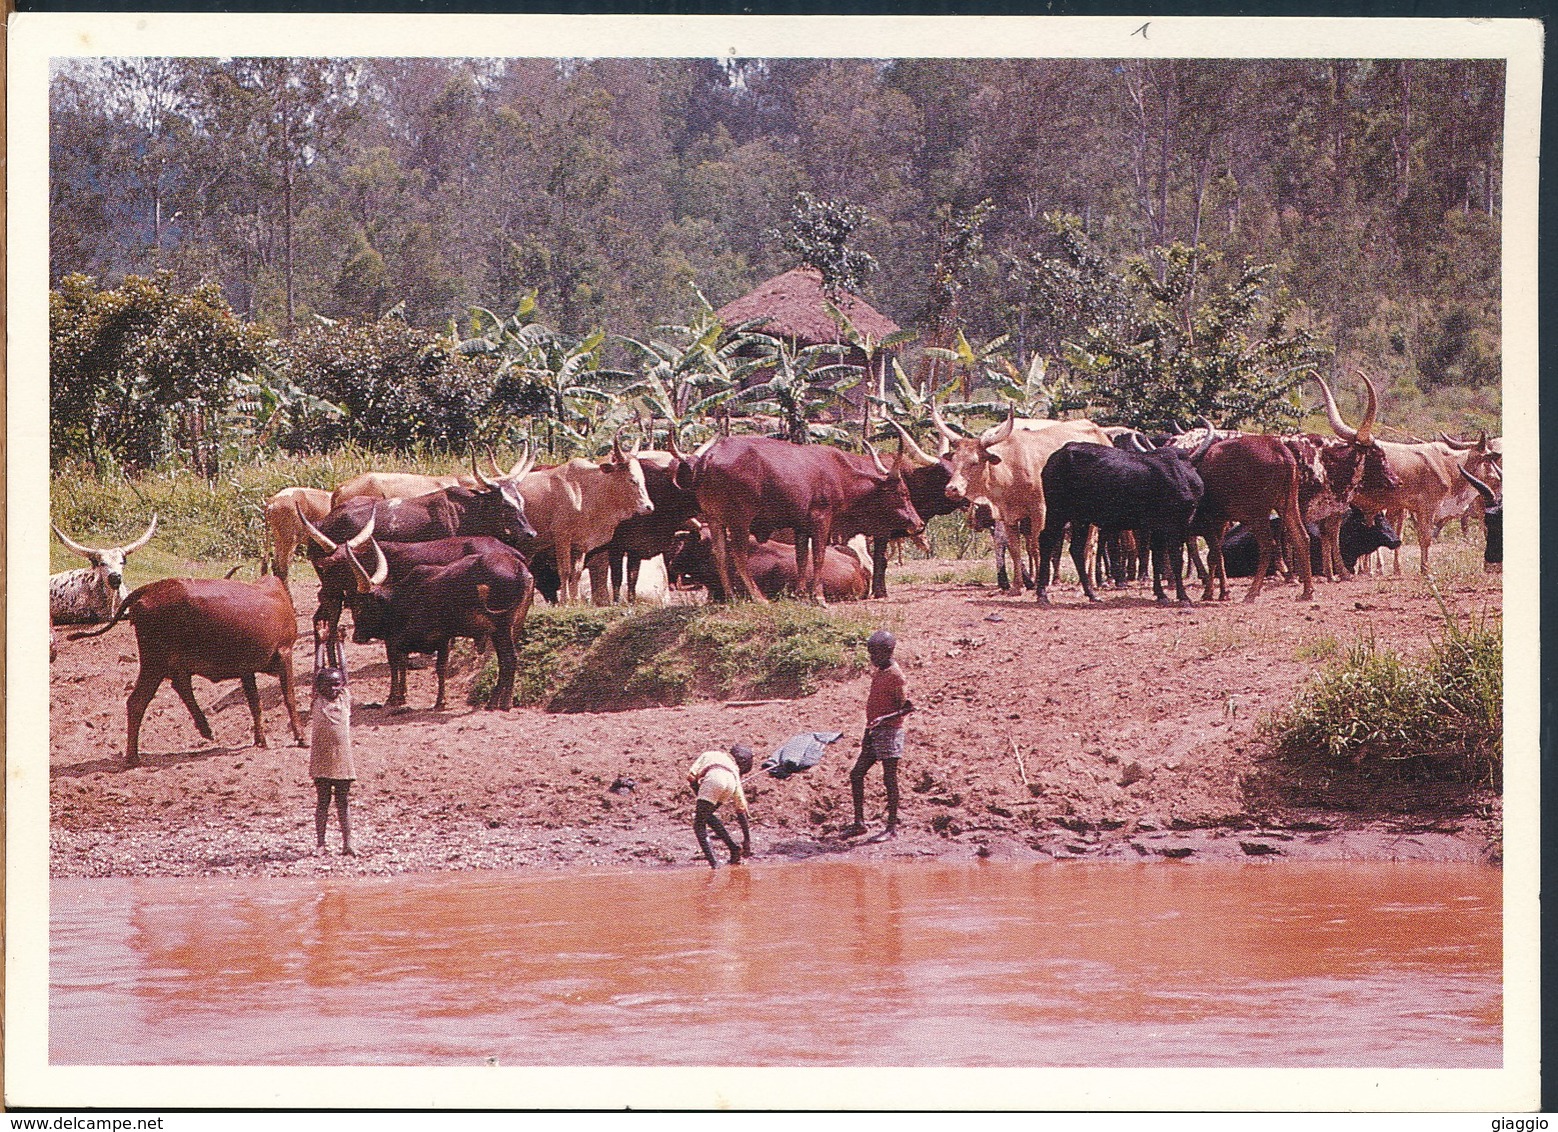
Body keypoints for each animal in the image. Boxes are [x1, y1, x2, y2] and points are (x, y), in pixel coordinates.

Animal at [517, 432, 651, 601]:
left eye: (643, 479)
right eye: (632, 480)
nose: (648, 507)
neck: (585, 491)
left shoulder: (579, 544)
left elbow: (577, 573)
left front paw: (575, 600)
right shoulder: (561, 536)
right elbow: (565, 570)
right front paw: (565, 601)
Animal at [1040, 435, 1209, 610]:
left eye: (1187, 470)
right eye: (1165, 474)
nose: (1186, 499)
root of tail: (1059, 454)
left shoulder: (1165, 527)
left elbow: (1158, 558)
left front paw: (1161, 594)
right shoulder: (1170, 527)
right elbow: (1175, 559)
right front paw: (1183, 596)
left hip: (1081, 519)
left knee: (1076, 549)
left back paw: (1091, 594)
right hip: (1057, 512)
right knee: (1046, 541)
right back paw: (1042, 594)